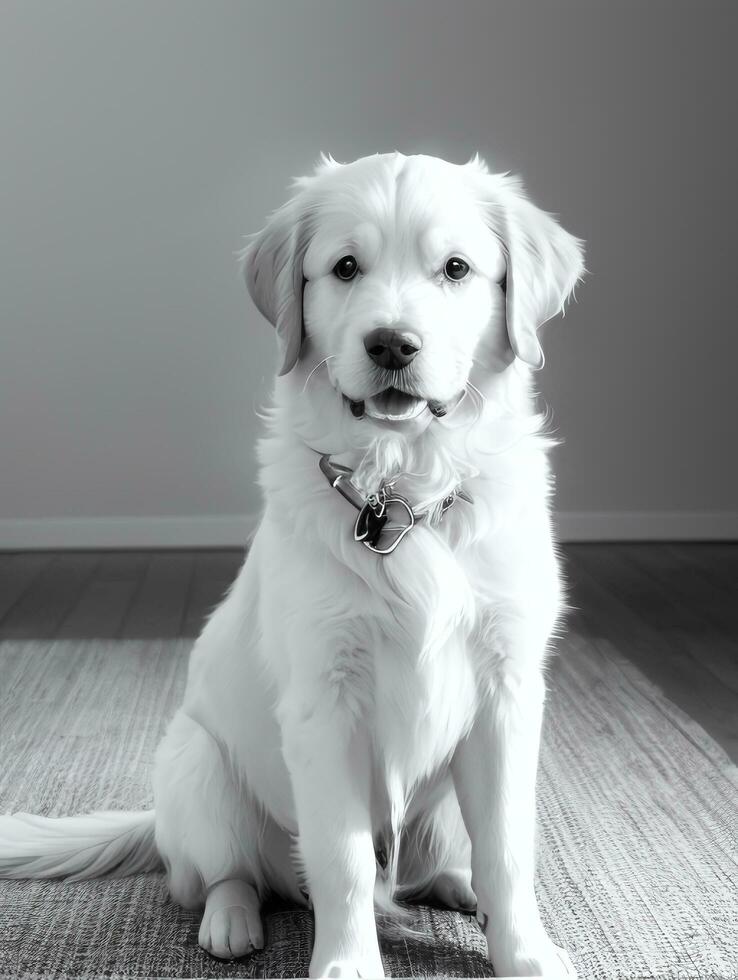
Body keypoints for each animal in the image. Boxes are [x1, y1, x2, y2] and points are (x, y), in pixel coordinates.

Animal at [1, 149, 588, 976]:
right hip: (198, 765)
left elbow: (508, 847)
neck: (402, 494)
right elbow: (341, 859)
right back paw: (231, 922)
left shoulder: (508, 694)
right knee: (224, 876)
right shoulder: (323, 702)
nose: (392, 344)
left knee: (439, 864)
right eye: (344, 267)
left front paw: (525, 952)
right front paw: (347, 963)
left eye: (456, 268)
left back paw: (459, 887)